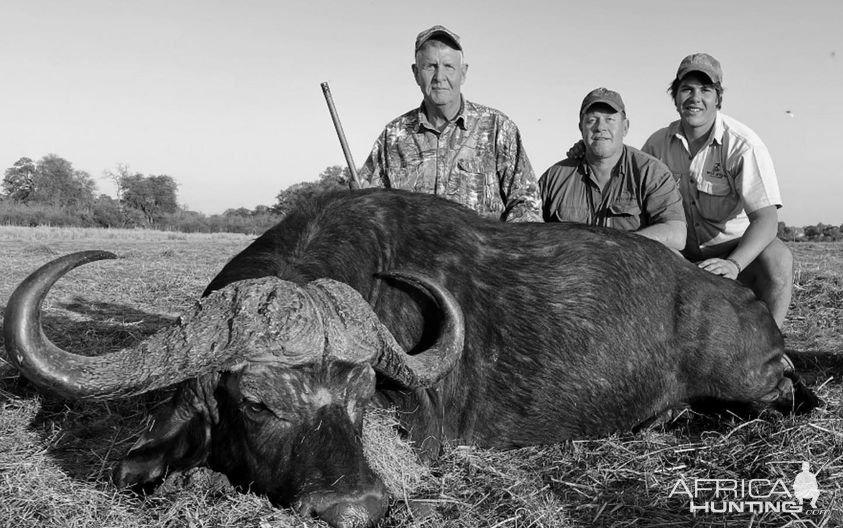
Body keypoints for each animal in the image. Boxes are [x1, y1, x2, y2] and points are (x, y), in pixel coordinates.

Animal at [3, 190, 820, 528]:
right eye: (257, 402)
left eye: (364, 396)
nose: (354, 508)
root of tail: (730, 295)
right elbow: (130, 467)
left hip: (758, 383)